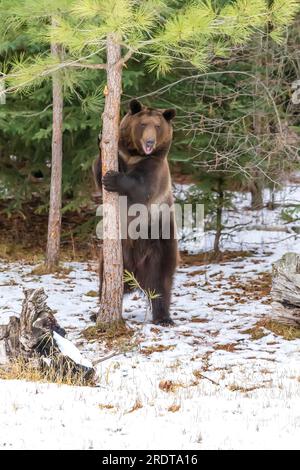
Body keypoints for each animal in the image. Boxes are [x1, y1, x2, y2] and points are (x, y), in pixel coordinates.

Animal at [94, 99, 178, 324]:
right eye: (142, 124)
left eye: (157, 126)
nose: (149, 142)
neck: (135, 155)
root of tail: (137, 273)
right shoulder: (122, 155)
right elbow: (97, 170)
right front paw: (101, 139)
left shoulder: (155, 167)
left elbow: (142, 187)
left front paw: (113, 179)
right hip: (116, 256)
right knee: (105, 280)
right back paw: (97, 312)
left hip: (159, 244)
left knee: (161, 283)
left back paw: (163, 317)